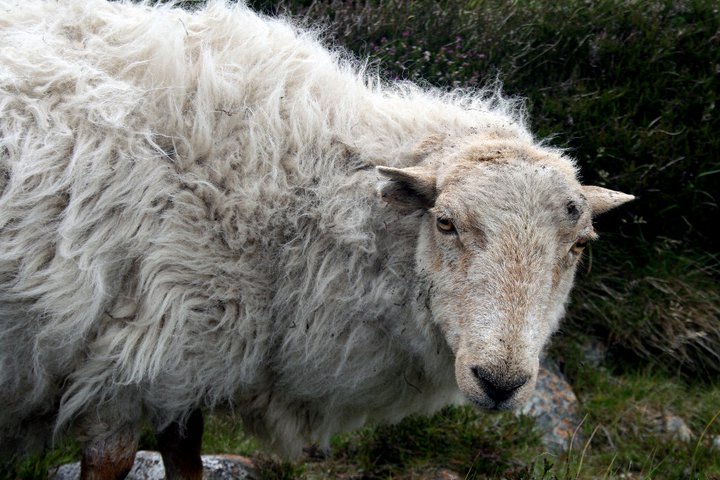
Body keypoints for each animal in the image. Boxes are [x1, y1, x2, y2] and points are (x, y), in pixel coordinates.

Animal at [0, 0, 632, 476]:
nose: (500, 382)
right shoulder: (133, 348)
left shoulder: (189, 355)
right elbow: (113, 456)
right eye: (445, 222)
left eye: (579, 245)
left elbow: (185, 453)